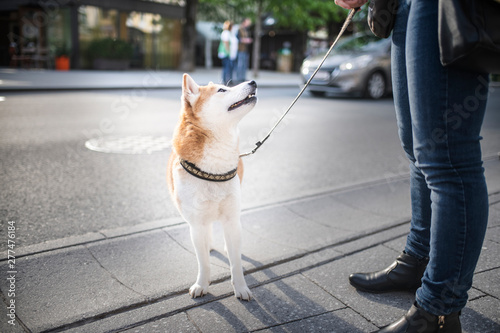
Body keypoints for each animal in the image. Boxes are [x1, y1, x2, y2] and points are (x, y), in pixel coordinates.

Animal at [167, 74, 256, 300]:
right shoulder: (196, 223)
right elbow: (203, 263)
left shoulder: (232, 218)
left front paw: (241, 288)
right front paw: (202, 285)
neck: (214, 168)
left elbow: (236, 263)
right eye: (222, 90)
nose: (253, 82)